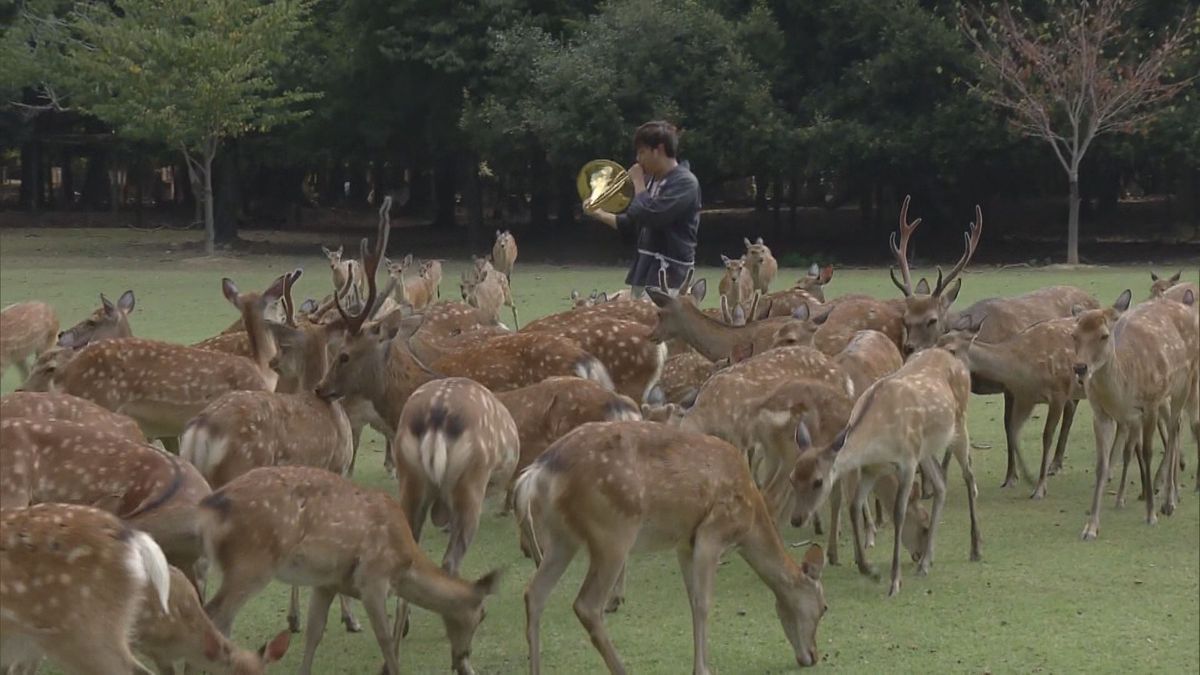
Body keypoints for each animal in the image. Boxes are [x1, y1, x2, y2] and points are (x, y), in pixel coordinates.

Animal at [199, 461, 499, 672]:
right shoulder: (373, 579)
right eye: (482, 615)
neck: (404, 564)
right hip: (251, 563)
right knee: (215, 615)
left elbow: (314, 633)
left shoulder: (326, 583)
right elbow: (385, 639)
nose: (463, 659)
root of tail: (212, 505)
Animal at [511, 420, 830, 672]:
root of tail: (537, 472)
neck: (750, 522)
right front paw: (703, 668)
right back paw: (622, 668)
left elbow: (692, 600)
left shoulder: (685, 545)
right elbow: (703, 603)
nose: (813, 655)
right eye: (824, 607)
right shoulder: (713, 532)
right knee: (586, 605)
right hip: (612, 532)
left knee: (534, 592)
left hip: (562, 537)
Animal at [1075, 288, 1195, 535]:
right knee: (1175, 427)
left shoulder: (1149, 404)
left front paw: (1151, 515)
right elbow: (1102, 463)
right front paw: (1091, 526)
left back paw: (1169, 501)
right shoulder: (1101, 414)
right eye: (1074, 335)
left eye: (1104, 335)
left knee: (1174, 429)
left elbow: (1148, 453)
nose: (1080, 368)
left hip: (1183, 383)